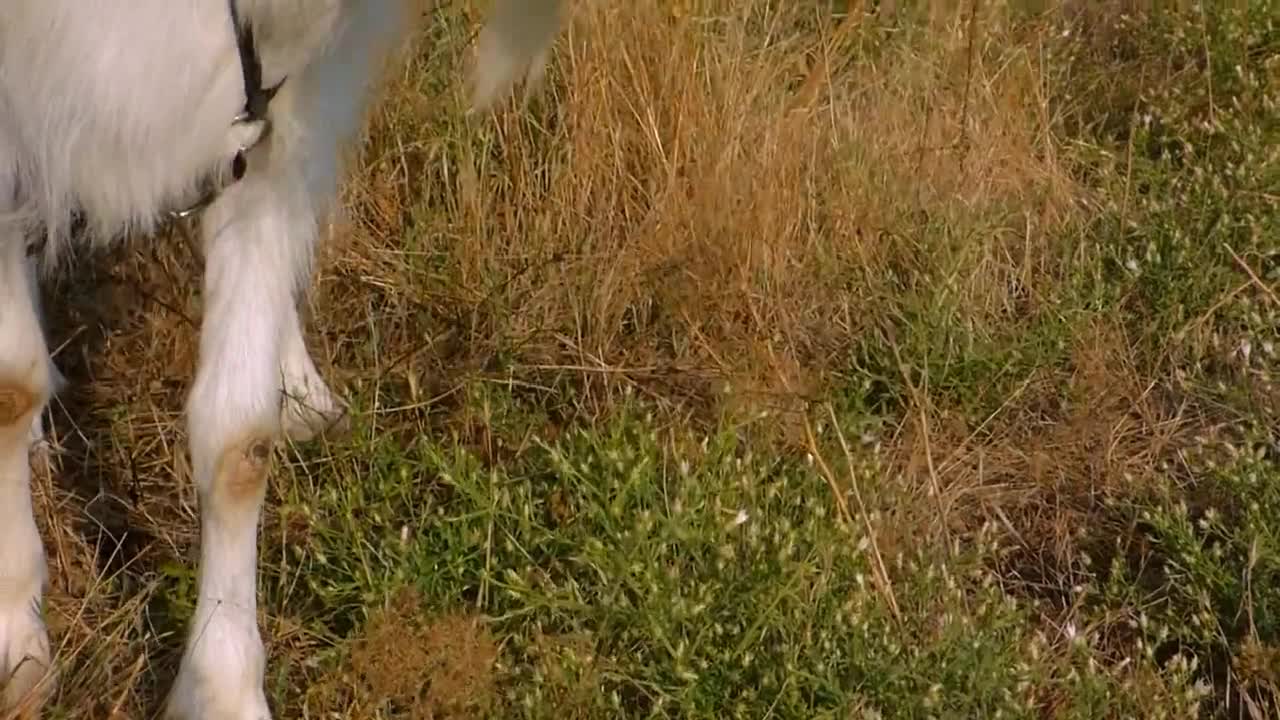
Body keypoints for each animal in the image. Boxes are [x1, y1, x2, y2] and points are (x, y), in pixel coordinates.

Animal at [0, 2, 563, 712]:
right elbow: (12, 388)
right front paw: (16, 644)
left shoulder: (278, 120)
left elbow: (239, 442)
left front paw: (222, 690)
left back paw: (299, 388)